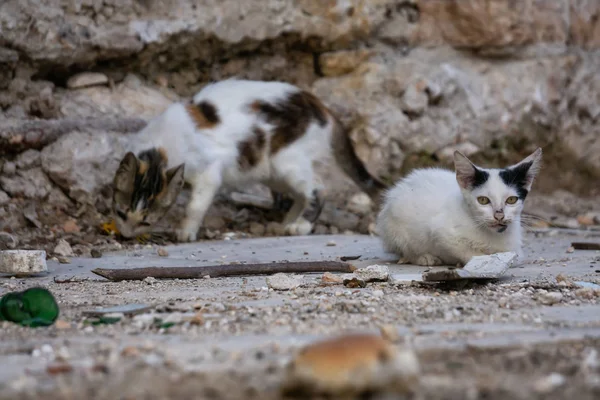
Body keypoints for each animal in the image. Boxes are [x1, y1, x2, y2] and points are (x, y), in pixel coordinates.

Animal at [111, 78, 384, 241]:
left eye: (146, 222)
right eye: (120, 214)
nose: (125, 236)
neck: (162, 149)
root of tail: (324, 110)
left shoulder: (210, 171)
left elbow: (195, 205)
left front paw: (186, 231)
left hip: (287, 160)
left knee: (318, 188)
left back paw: (302, 225)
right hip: (271, 170)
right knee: (301, 193)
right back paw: (287, 222)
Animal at [378, 147, 540, 266]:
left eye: (511, 200)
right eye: (483, 200)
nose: (499, 215)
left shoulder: (514, 249)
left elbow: (515, 257)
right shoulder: (440, 231)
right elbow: (467, 251)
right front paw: (483, 260)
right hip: (394, 226)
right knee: (406, 248)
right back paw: (423, 258)